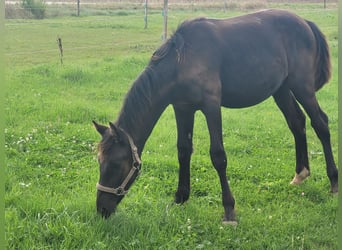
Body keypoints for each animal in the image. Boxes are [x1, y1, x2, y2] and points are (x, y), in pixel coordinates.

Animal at [92, 9, 338, 225]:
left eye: (116, 164)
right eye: (100, 162)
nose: (102, 209)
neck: (182, 61)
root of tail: (305, 22)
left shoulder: (211, 107)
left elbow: (218, 156)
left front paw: (229, 210)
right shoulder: (182, 108)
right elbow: (183, 150)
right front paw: (180, 198)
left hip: (302, 87)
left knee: (320, 123)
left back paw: (333, 182)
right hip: (282, 90)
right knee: (297, 123)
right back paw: (300, 174)